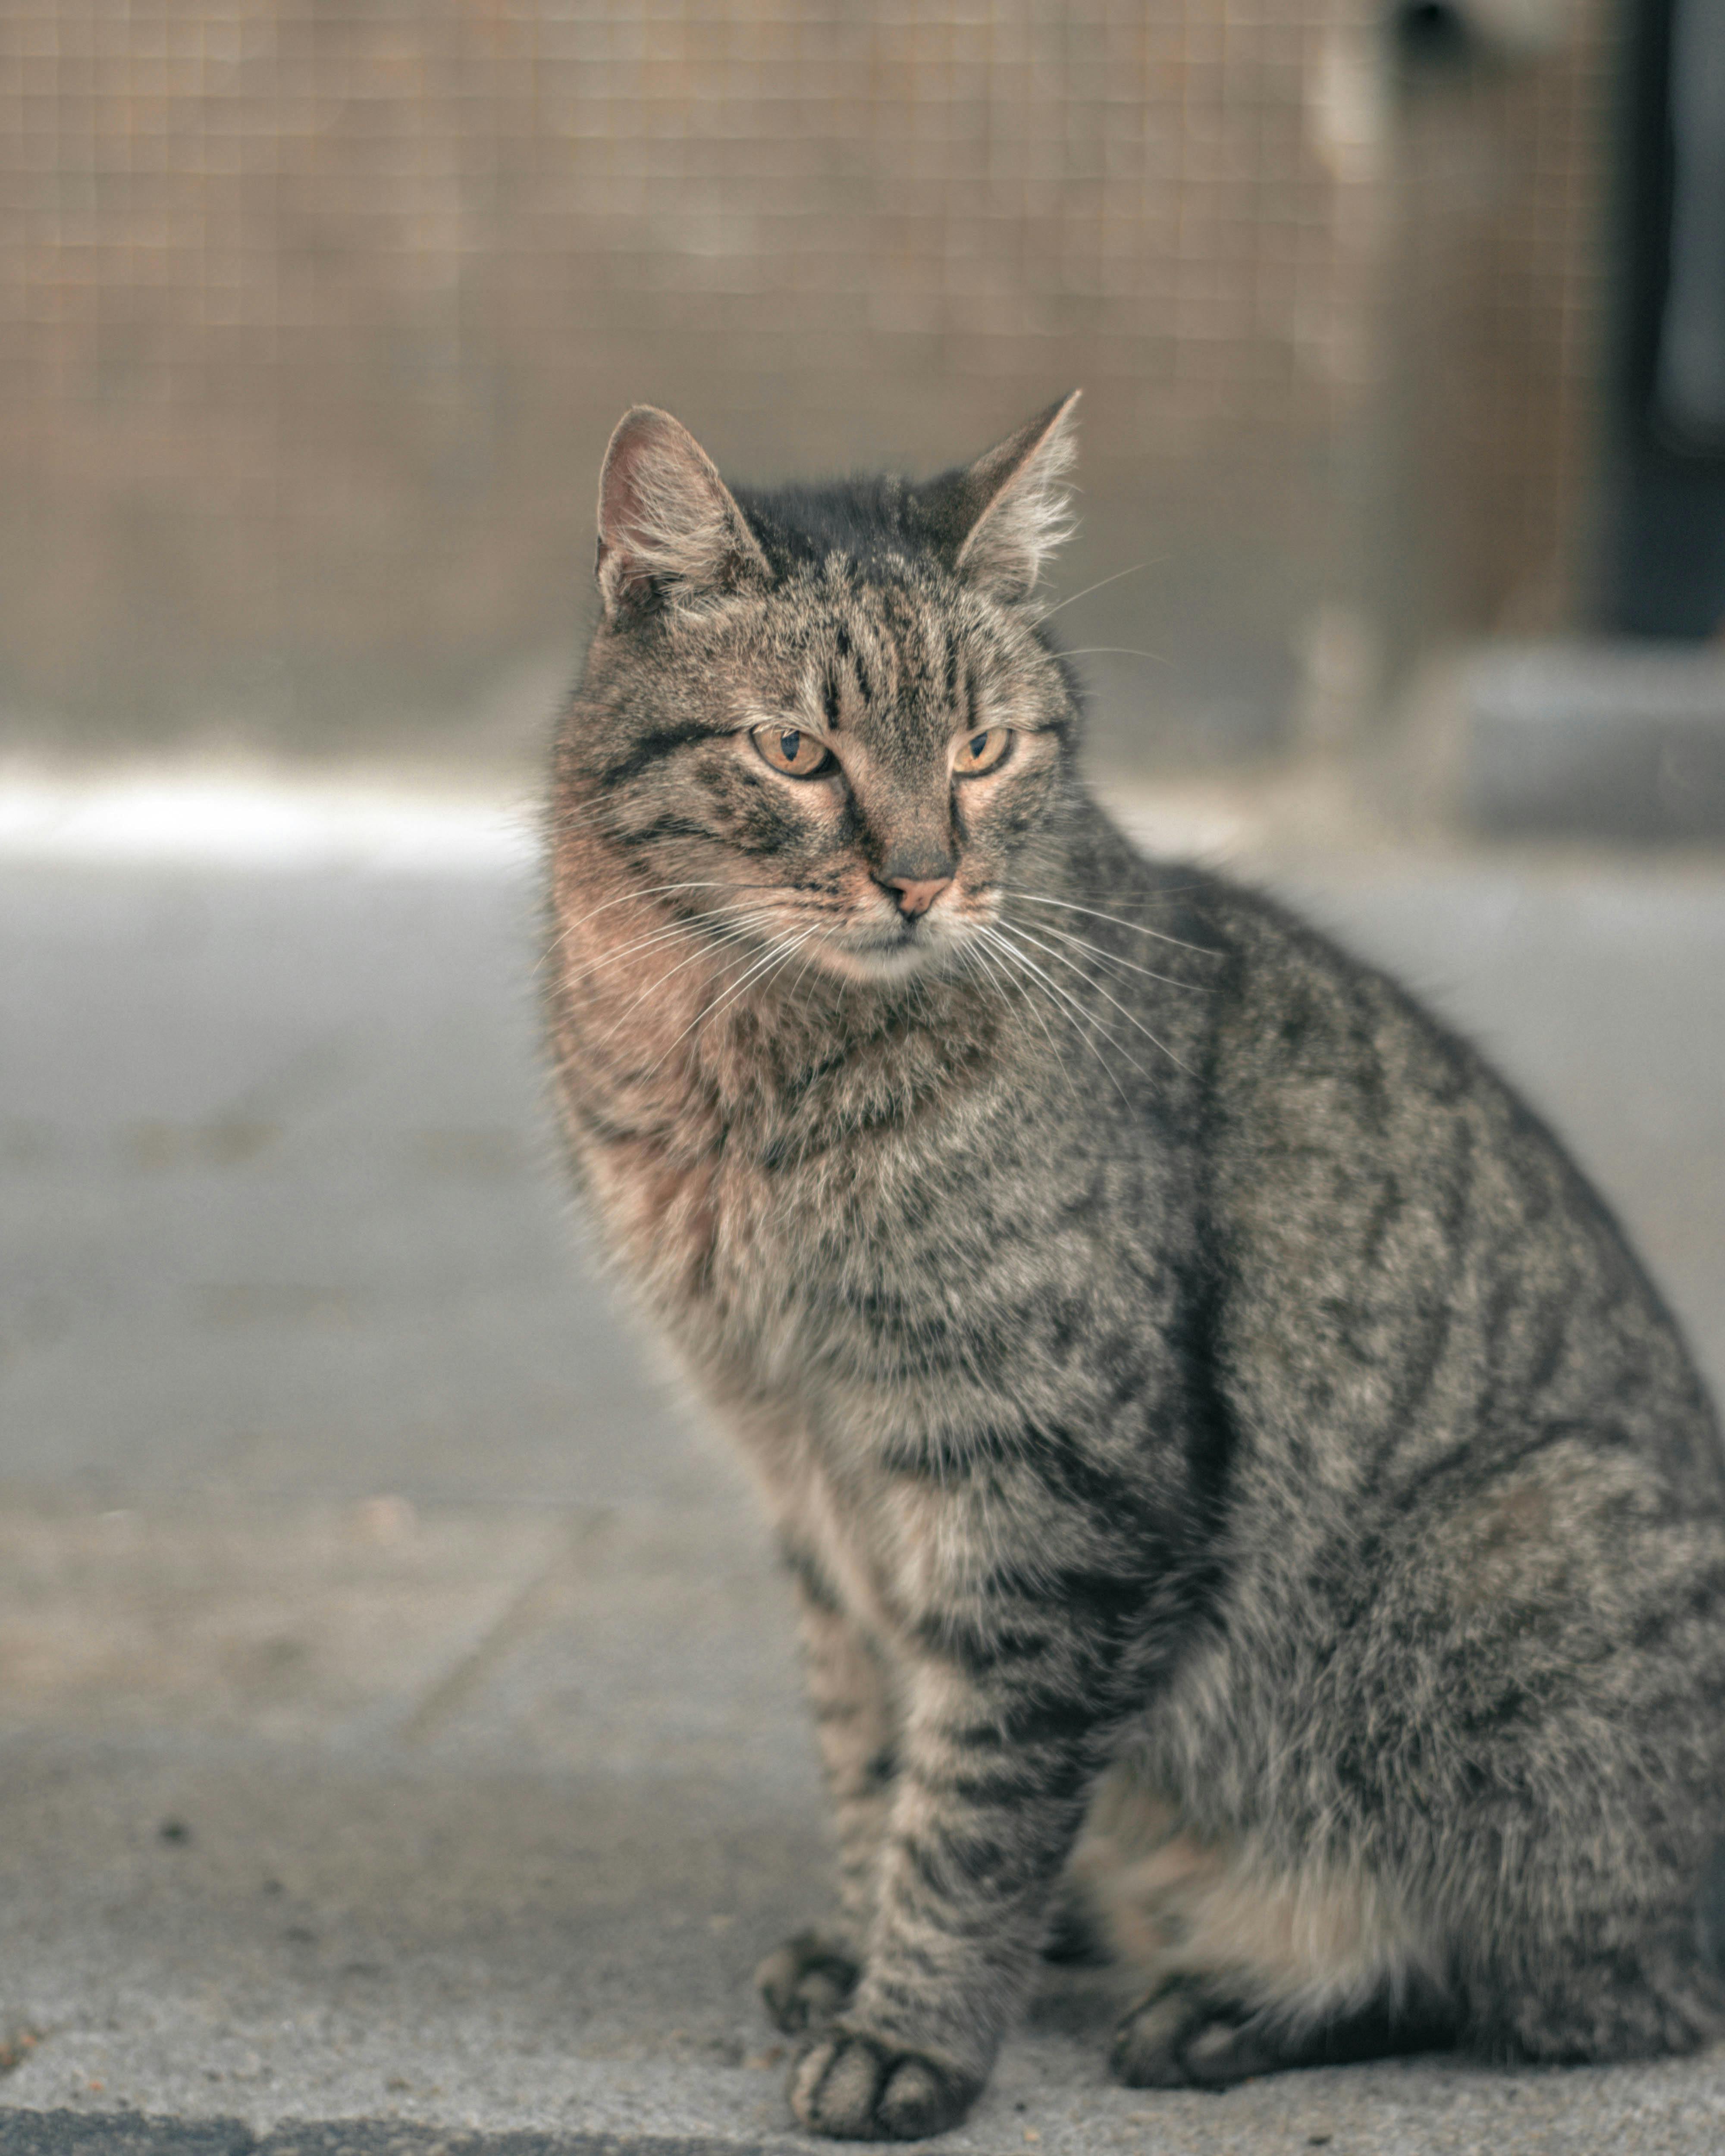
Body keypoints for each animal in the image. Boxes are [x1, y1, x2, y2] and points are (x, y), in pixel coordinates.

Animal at [546, 397, 1725, 2130]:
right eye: (797, 752)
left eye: (979, 750)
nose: (919, 877)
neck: (730, 1071)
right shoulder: (819, 1504)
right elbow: (875, 1757)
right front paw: (866, 1937)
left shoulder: (1056, 1493)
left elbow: (973, 1809)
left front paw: (912, 2029)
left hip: (1516, 1549)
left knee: (1558, 1984)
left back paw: (1233, 2000)